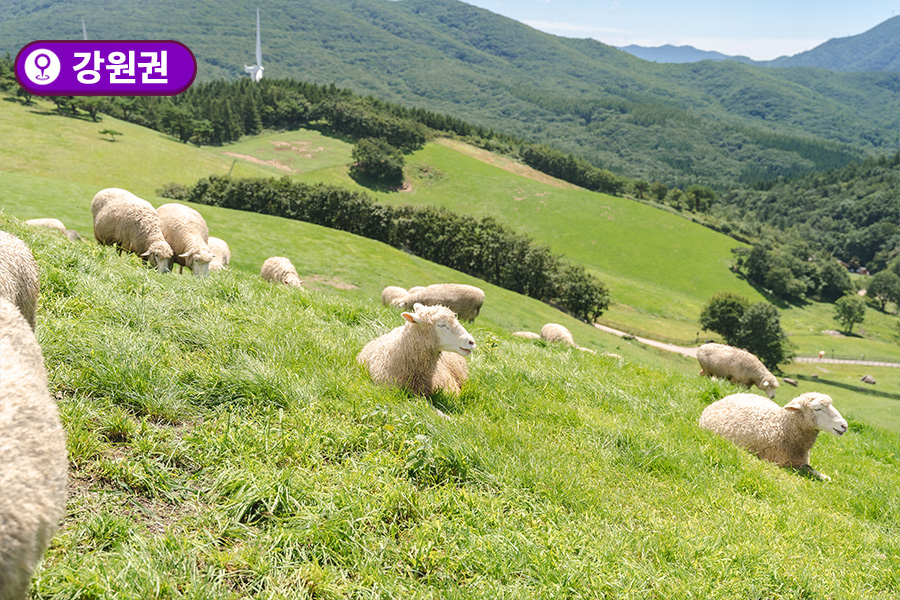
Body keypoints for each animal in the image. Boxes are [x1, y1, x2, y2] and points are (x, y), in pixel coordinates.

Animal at [700, 392, 848, 480]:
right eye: (818, 409)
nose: (844, 425)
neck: (782, 426)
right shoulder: (781, 462)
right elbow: (807, 468)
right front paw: (824, 476)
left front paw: (825, 476)